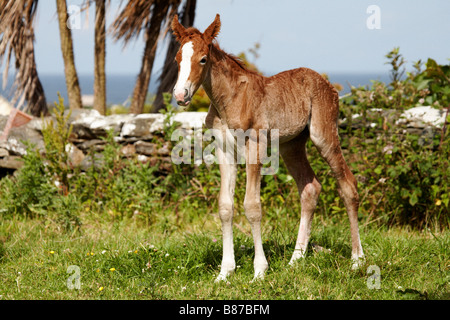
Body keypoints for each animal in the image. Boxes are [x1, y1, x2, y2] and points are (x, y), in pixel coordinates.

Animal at [171, 14, 364, 280]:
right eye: (177, 59)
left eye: (202, 59)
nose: (181, 95)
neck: (230, 99)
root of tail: (329, 86)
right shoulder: (223, 149)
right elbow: (225, 206)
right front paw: (225, 272)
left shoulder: (255, 144)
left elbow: (252, 206)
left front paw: (259, 270)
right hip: (291, 146)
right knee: (310, 188)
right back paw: (296, 259)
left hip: (323, 135)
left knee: (348, 185)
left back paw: (357, 259)